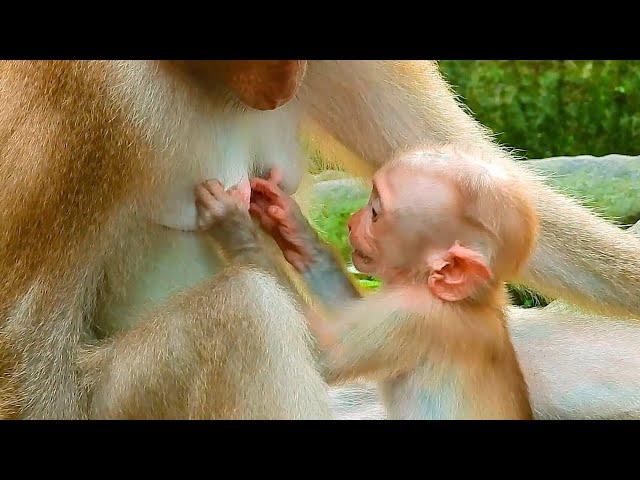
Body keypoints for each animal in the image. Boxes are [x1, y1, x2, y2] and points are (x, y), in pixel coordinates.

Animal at [198, 143, 536, 420]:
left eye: (374, 212)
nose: (350, 223)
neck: (472, 301)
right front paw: (297, 232)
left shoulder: (415, 317)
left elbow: (324, 353)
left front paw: (234, 224)